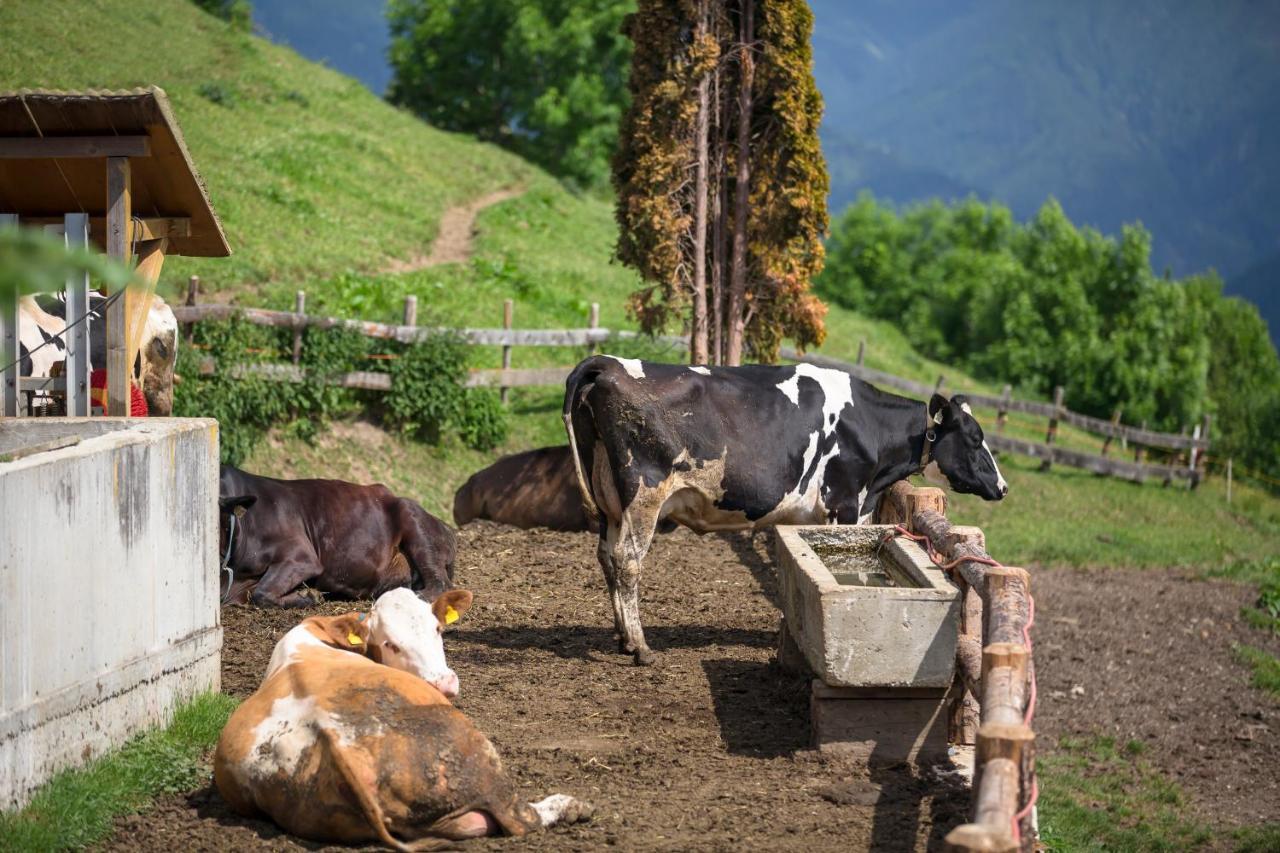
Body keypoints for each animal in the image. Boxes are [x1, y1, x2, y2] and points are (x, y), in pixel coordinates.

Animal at [216, 589, 593, 845]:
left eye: (438, 629)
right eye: (390, 644)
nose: (443, 683)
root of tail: (330, 738)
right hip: (476, 752)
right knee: (519, 818)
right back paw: (568, 805)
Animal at [565, 350, 1003, 666]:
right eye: (974, 437)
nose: (1002, 486)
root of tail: (607, 363)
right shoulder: (842, 505)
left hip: (609, 500)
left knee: (607, 556)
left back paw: (623, 638)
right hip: (644, 494)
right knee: (627, 561)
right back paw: (640, 647)